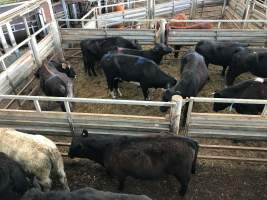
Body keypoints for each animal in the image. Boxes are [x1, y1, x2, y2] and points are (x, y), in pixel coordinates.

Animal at [68, 130, 200, 196]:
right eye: (71, 142)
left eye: (74, 147)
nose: (68, 154)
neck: (105, 148)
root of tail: (188, 140)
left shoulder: (120, 173)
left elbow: (121, 183)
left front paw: (119, 189)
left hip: (181, 172)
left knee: (185, 182)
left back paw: (181, 193)